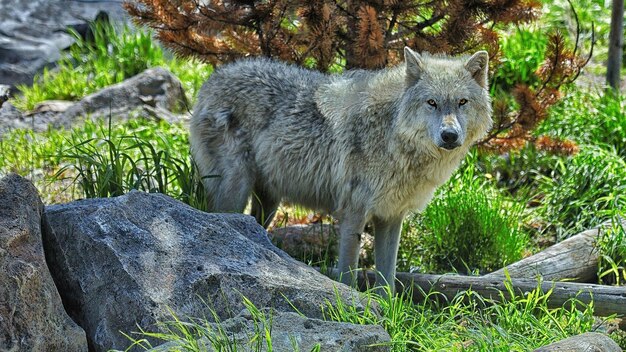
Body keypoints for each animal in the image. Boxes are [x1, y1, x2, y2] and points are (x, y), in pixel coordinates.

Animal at [188, 48, 490, 292]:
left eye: (462, 102)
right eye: (432, 103)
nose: (449, 135)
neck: (392, 134)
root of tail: (212, 80)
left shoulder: (391, 217)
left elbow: (388, 281)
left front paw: (387, 312)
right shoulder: (353, 213)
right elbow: (348, 273)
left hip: (268, 203)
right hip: (235, 192)